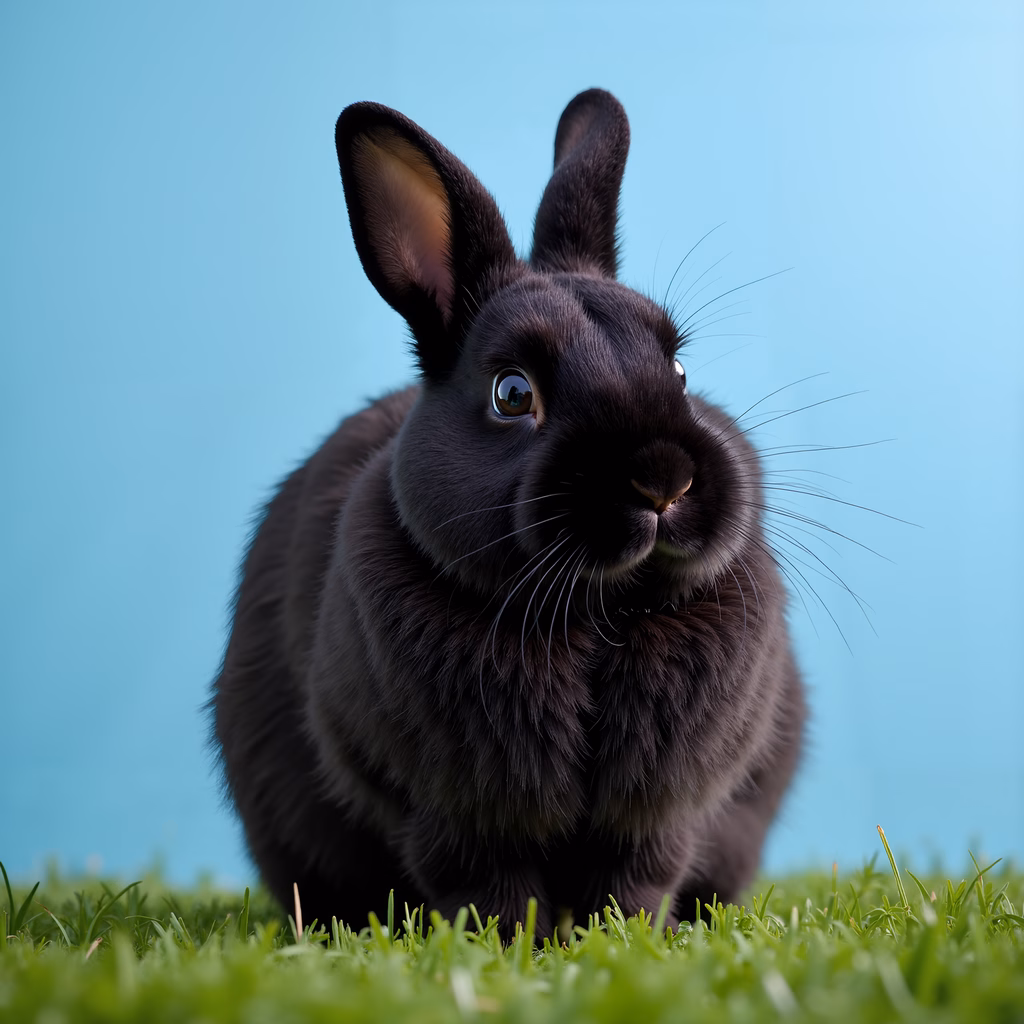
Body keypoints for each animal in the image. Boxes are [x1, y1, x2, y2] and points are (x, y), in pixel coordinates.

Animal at [210, 88, 806, 939]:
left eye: (680, 370)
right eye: (512, 394)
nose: (664, 479)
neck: (594, 613)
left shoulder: (657, 815)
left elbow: (633, 880)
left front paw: (619, 941)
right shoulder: (449, 814)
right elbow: (487, 887)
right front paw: (510, 946)